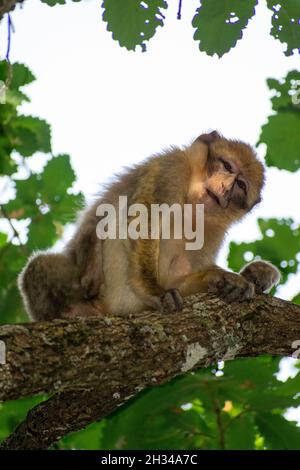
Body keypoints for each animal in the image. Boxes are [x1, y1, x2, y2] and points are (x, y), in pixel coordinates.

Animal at [18, 130, 280, 322]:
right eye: (227, 166)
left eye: (241, 185)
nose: (226, 187)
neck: (191, 204)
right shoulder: (171, 167)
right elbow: (143, 222)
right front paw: (154, 291)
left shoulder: (215, 230)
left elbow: (178, 276)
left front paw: (221, 278)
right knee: (41, 265)